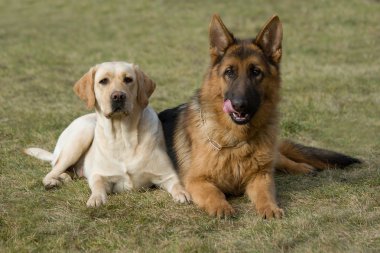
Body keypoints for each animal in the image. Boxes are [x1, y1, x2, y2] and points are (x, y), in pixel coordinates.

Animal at [24, 61, 190, 208]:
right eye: (103, 81)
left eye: (128, 79)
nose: (118, 96)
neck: (123, 136)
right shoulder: (99, 174)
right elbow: (97, 185)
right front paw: (96, 199)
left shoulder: (167, 174)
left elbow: (177, 184)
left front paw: (183, 193)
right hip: (82, 135)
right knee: (52, 171)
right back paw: (52, 181)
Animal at [159, 14, 360, 218]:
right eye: (229, 72)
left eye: (256, 72)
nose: (239, 105)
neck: (237, 141)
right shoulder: (197, 181)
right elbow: (214, 193)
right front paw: (221, 207)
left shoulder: (261, 176)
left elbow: (265, 194)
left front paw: (270, 208)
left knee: (280, 159)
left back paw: (302, 167)